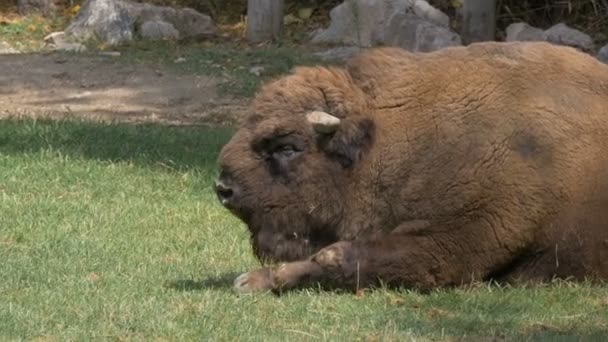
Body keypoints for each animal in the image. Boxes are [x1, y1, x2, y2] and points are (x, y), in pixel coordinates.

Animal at [213, 40, 608, 294]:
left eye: (287, 146)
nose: (223, 188)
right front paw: (253, 279)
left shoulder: (460, 238)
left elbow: (338, 255)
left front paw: (253, 281)